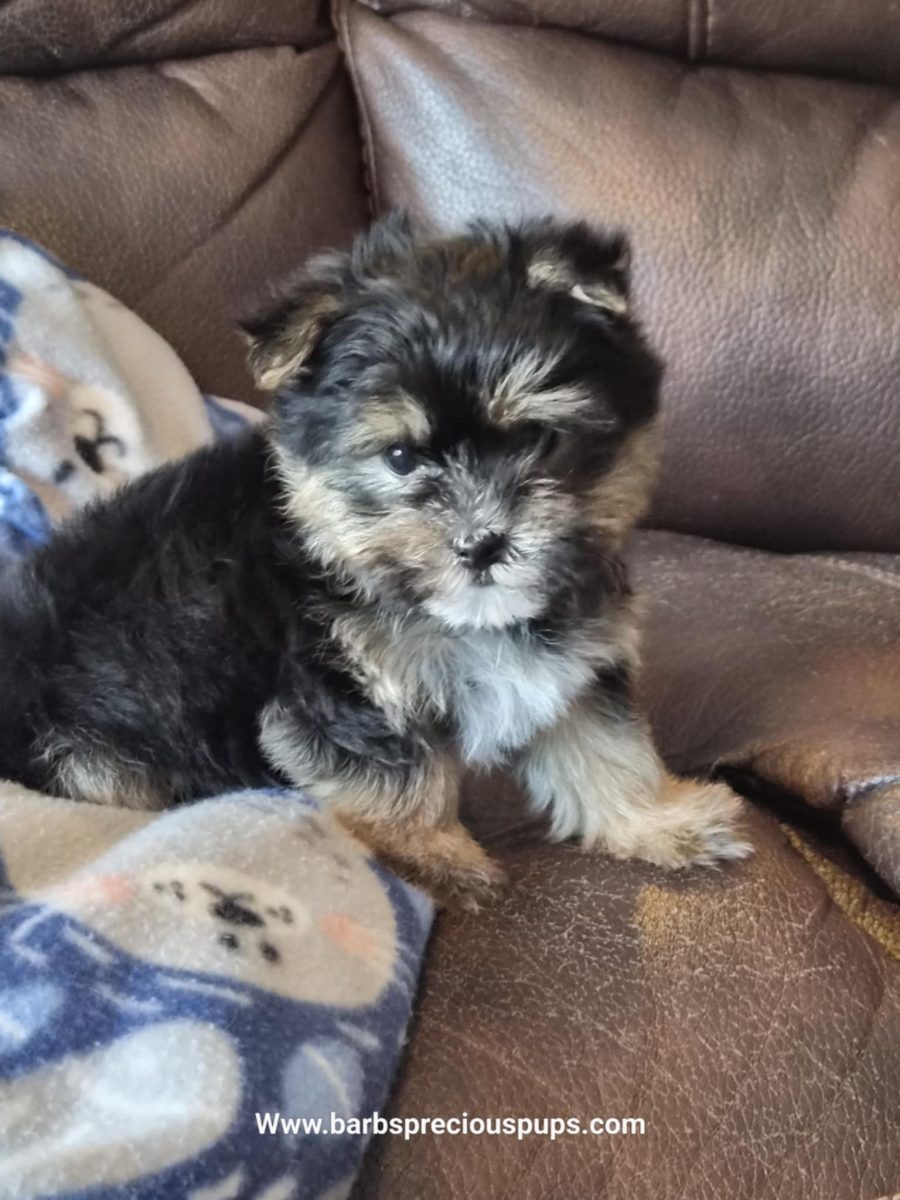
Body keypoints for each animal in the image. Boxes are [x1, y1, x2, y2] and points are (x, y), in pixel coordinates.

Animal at [0, 214, 750, 905]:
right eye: (399, 458)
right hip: (83, 745)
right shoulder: (340, 688)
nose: (482, 543)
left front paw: (659, 819)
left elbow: (601, 739)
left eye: (537, 439)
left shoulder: (569, 656)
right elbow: (397, 774)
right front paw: (435, 860)